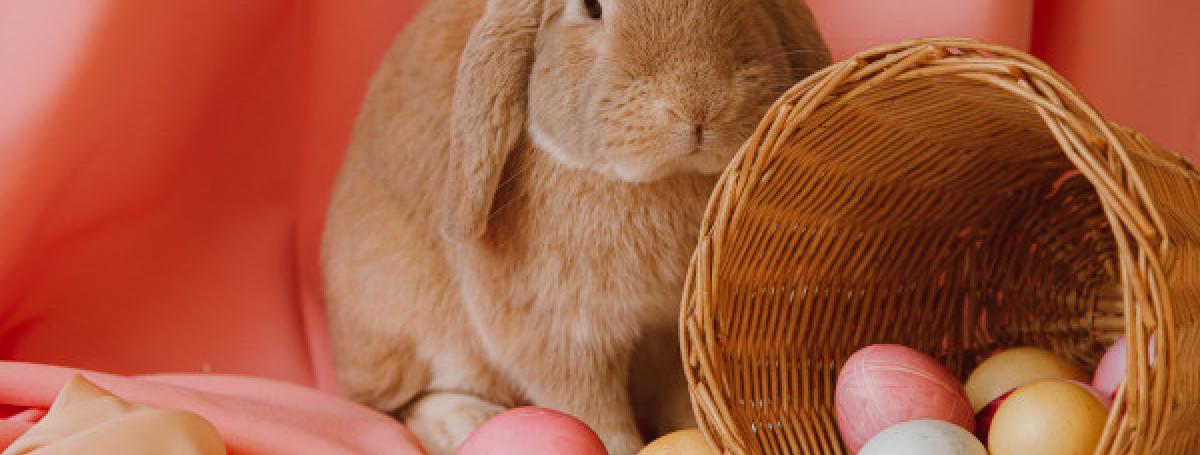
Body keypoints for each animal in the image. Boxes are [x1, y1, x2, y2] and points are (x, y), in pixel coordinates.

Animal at [320, 0, 830, 454]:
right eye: (590, 7)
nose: (698, 103)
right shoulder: (563, 335)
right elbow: (591, 411)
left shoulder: (672, 334)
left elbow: (680, 396)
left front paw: (700, 432)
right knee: (408, 402)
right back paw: (467, 423)